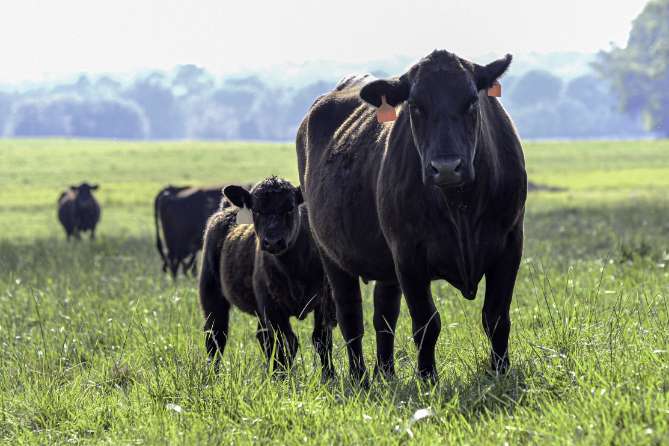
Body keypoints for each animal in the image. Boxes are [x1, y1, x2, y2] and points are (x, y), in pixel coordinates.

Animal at [198, 177, 336, 379]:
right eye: (256, 210)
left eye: (290, 208)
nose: (272, 242)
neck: (295, 269)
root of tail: (226, 209)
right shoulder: (272, 307)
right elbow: (287, 342)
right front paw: (283, 377)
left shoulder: (324, 301)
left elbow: (321, 340)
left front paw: (329, 376)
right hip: (211, 294)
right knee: (216, 336)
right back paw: (214, 375)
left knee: (262, 337)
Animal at [297, 50, 527, 383]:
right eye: (416, 105)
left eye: (472, 101)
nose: (446, 167)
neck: (459, 204)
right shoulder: (408, 254)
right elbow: (426, 323)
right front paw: (428, 377)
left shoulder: (510, 244)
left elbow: (496, 316)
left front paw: (501, 371)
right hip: (331, 254)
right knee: (350, 316)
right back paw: (360, 377)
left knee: (384, 315)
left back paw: (387, 372)